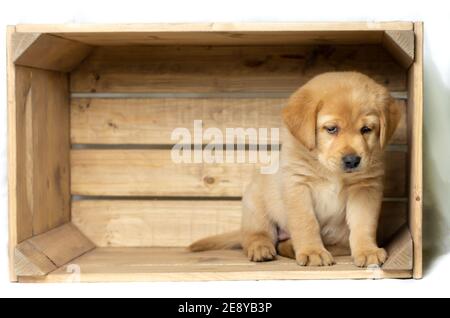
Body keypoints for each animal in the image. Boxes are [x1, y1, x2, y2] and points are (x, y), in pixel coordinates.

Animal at [188, 71, 402, 266]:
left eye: (366, 129)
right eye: (331, 129)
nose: (352, 160)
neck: (329, 170)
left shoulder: (365, 189)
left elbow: (363, 224)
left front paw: (367, 250)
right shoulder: (298, 185)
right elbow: (306, 223)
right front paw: (312, 251)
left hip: (338, 235)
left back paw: (291, 247)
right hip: (255, 205)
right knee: (255, 236)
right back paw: (261, 248)